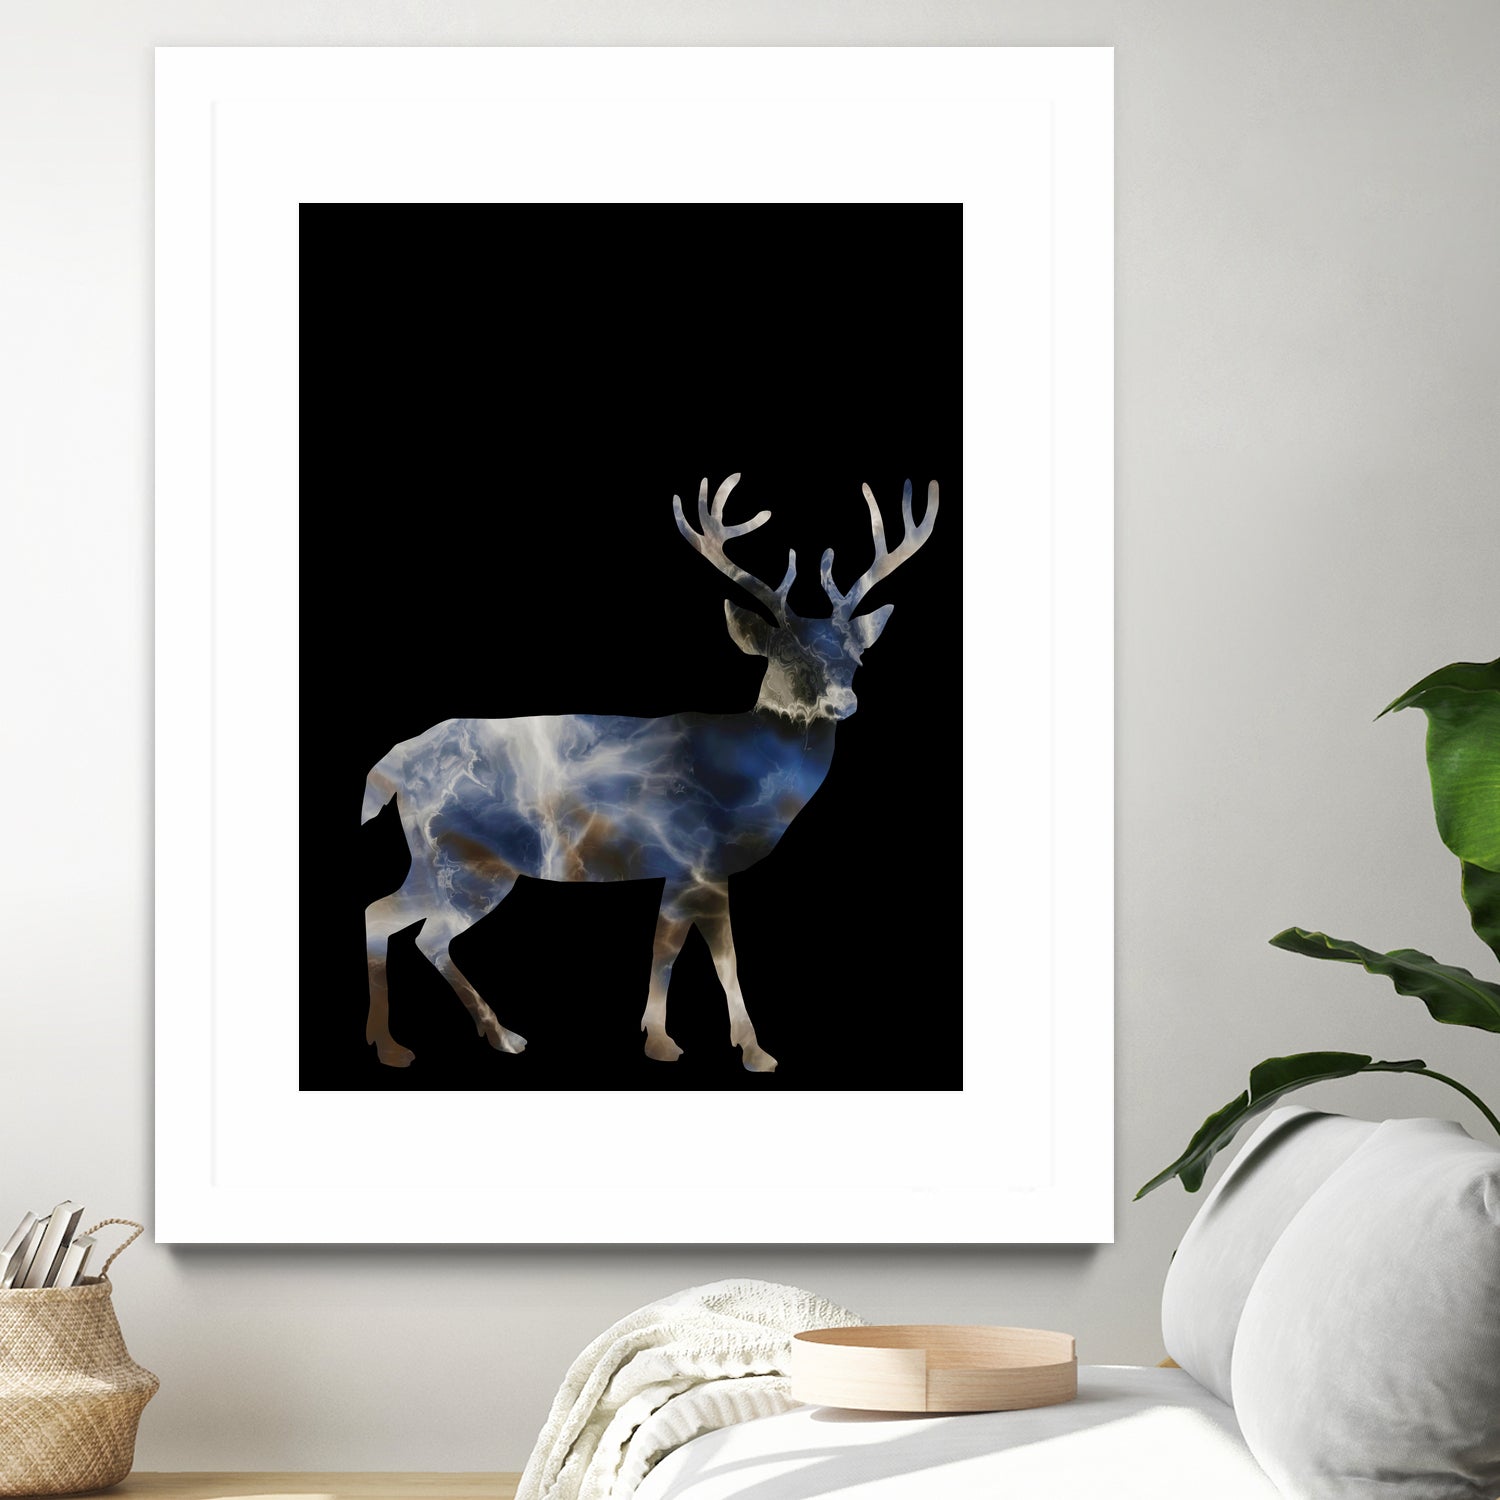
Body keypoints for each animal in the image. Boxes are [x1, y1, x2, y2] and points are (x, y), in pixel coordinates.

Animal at [360, 473, 938, 1074]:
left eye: (856, 660)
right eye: (786, 656)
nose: (844, 702)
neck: (746, 775)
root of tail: (394, 764)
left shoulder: (683, 869)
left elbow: (671, 947)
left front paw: (673, 1039)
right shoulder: (699, 858)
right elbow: (708, 956)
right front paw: (735, 1049)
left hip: (438, 859)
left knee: (389, 918)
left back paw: (463, 1036)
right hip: (468, 860)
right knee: (414, 929)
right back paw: (434, 1041)